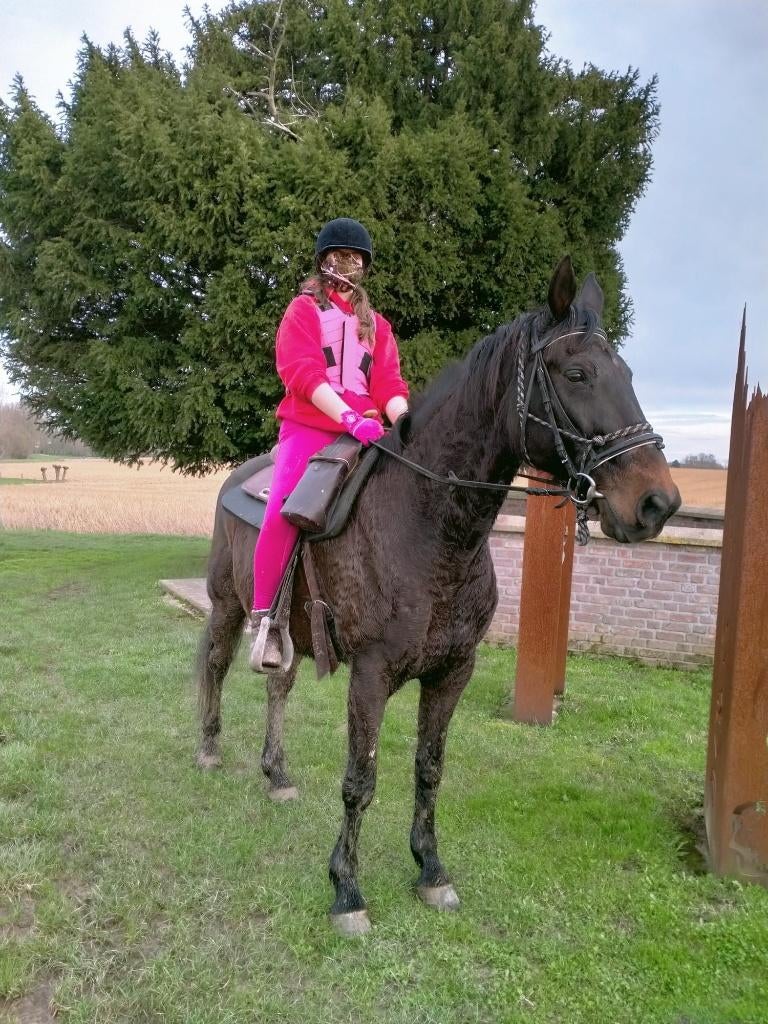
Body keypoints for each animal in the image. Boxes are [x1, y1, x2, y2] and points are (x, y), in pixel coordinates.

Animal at [196, 257, 681, 935]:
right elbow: (361, 779)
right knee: (214, 664)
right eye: (577, 373)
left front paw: (429, 869)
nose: (658, 502)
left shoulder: (453, 671)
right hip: (228, 605)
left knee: (278, 686)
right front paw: (347, 890)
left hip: (289, 630)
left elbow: (429, 770)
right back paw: (210, 749)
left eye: (629, 374)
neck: (430, 526)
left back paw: (277, 774)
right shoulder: (370, 674)